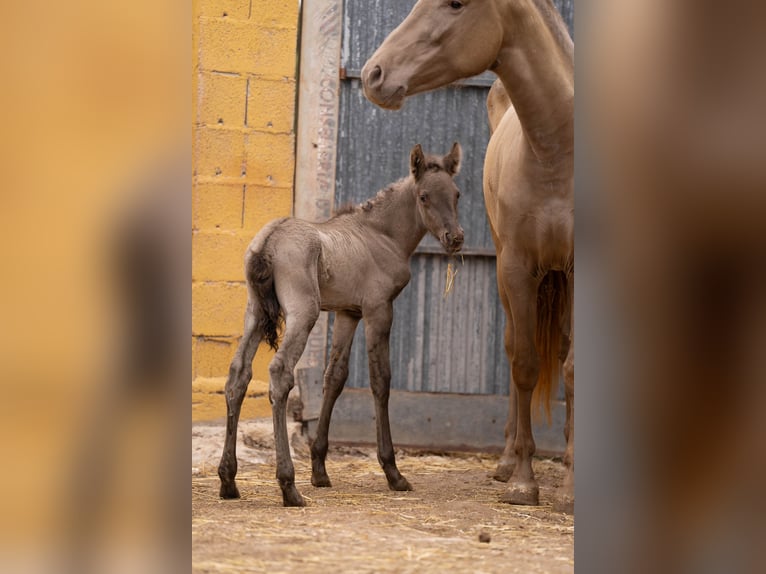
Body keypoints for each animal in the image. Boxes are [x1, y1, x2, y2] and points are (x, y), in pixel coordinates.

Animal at [219, 144, 464, 508]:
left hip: (254, 313)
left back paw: (228, 480)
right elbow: (380, 380)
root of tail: (268, 242)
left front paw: (320, 470)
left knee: (239, 374)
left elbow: (334, 377)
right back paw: (288, 486)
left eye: (457, 194)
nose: (455, 238)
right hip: (303, 314)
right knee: (280, 373)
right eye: (424, 197)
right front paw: (393, 472)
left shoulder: (348, 313)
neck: (382, 235)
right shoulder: (378, 309)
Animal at [364, 0, 572, 512]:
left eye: (457, 4)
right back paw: (507, 462)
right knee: (516, 350)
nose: (374, 74)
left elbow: (575, 371)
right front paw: (524, 482)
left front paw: (572, 487)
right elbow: (524, 364)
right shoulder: (517, 268)